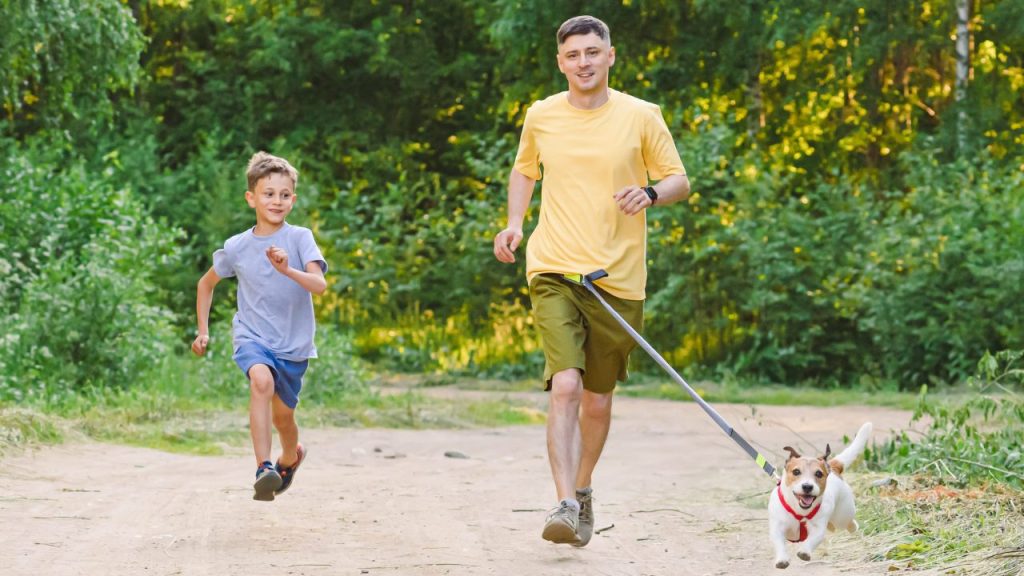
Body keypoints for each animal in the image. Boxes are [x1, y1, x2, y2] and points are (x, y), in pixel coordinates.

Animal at [770, 420, 872, 565]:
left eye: (818, 474)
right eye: (796, 472)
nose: (807, 486)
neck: (800, 511)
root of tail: (833, 467)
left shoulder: (818, 528)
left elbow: (813, 539)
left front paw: (804, 552)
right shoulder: (777, 526)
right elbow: (779, 542)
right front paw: (782, 559)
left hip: (842, 515)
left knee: (848, 522)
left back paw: (853, 527)